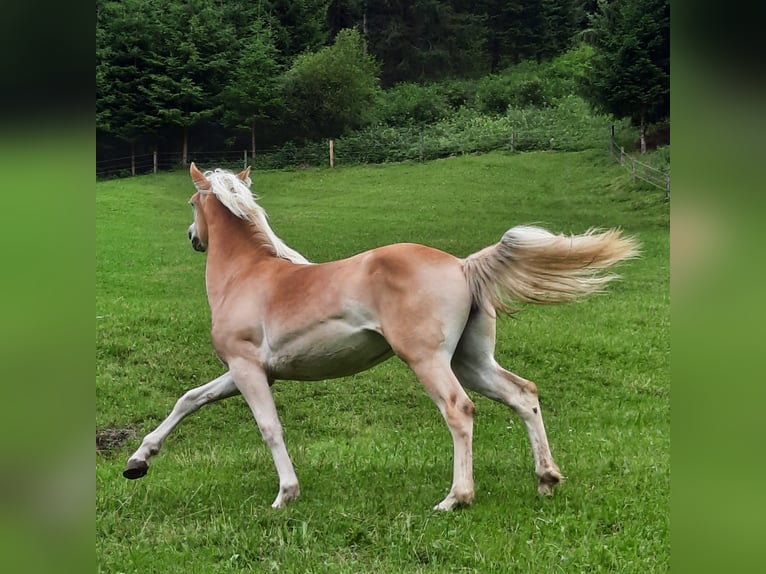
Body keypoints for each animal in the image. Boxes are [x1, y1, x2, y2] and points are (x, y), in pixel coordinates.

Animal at [126, 163, 640, 512]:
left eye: (192, 204)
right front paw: (138, 461)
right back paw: (546, 479)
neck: (246, 276)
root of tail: (462, 265)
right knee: (523, 394)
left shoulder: (248, 369)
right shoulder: (247, 371)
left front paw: (286, 495)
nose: (193, 237)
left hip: (428, 361)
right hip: (471, 361)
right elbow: (190, 399)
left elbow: (269, 427)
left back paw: (455, 498)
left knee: (460, 411)